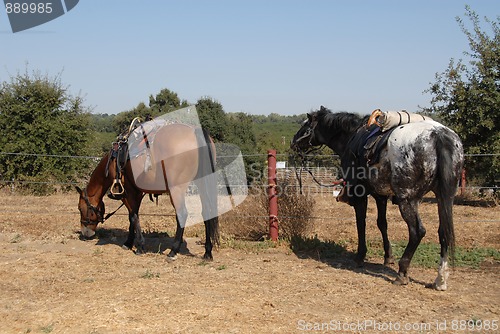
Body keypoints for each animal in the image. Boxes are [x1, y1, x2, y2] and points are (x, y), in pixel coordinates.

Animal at [75, 122, 219, 260]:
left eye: (80, 208)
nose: (85, 232)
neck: (113, 161)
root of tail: (195, 130)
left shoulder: (127, 192)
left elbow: (133, 216)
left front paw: (139, 246)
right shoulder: (137, 192)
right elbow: (133, 216)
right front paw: (129, 242)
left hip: (176, 189)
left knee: (182, 214)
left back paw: (173, 251)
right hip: (202, 183)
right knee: (206, 213)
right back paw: (207, 252)